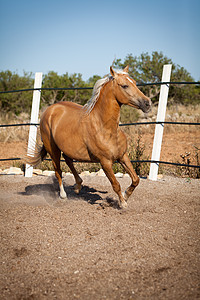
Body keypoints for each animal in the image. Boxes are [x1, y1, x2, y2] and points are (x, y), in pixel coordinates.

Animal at [27, 65, 150, 209]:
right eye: (124, 86)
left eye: (135, 82)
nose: (147, 103)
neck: (105, 128)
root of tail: (49, 110)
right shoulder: (105, 162)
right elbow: (116, 184)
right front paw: (123, 203)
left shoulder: (122, 156)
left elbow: (136, 179)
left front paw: (125, 195)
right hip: (53, 149)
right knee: (58, 171)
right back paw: (63, 195)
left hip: (68, 148)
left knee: (68, 160)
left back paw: (78, 186)